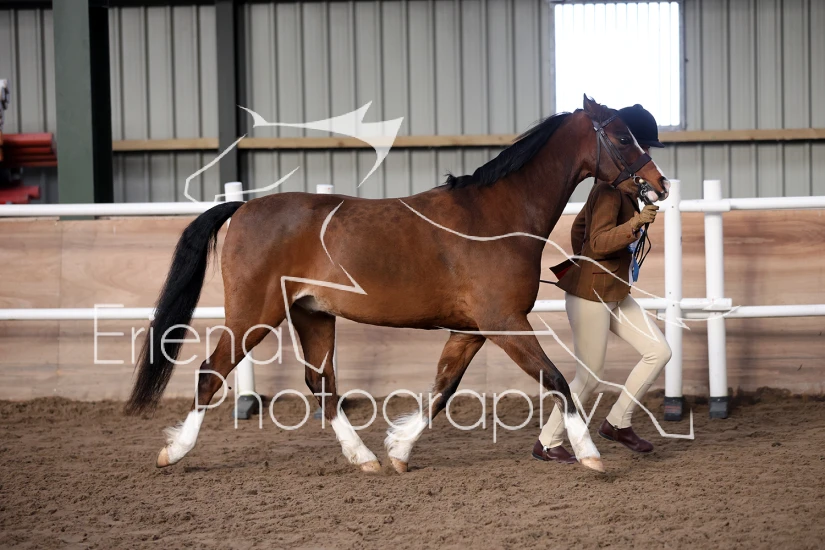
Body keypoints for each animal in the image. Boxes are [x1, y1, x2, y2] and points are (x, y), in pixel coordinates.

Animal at [126, 95, 670, 474]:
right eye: (622, 138)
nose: (660, 185)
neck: (496, 216)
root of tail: (243, 208)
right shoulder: (505, 323)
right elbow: (558, 382)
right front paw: (591, 455)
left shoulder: (472, 330)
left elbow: (443, 390)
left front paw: (399, 450)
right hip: (254, 315)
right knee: (211, 373)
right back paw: (174, 453)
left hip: (312, 314)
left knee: (322, 387)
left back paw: (364, 458)